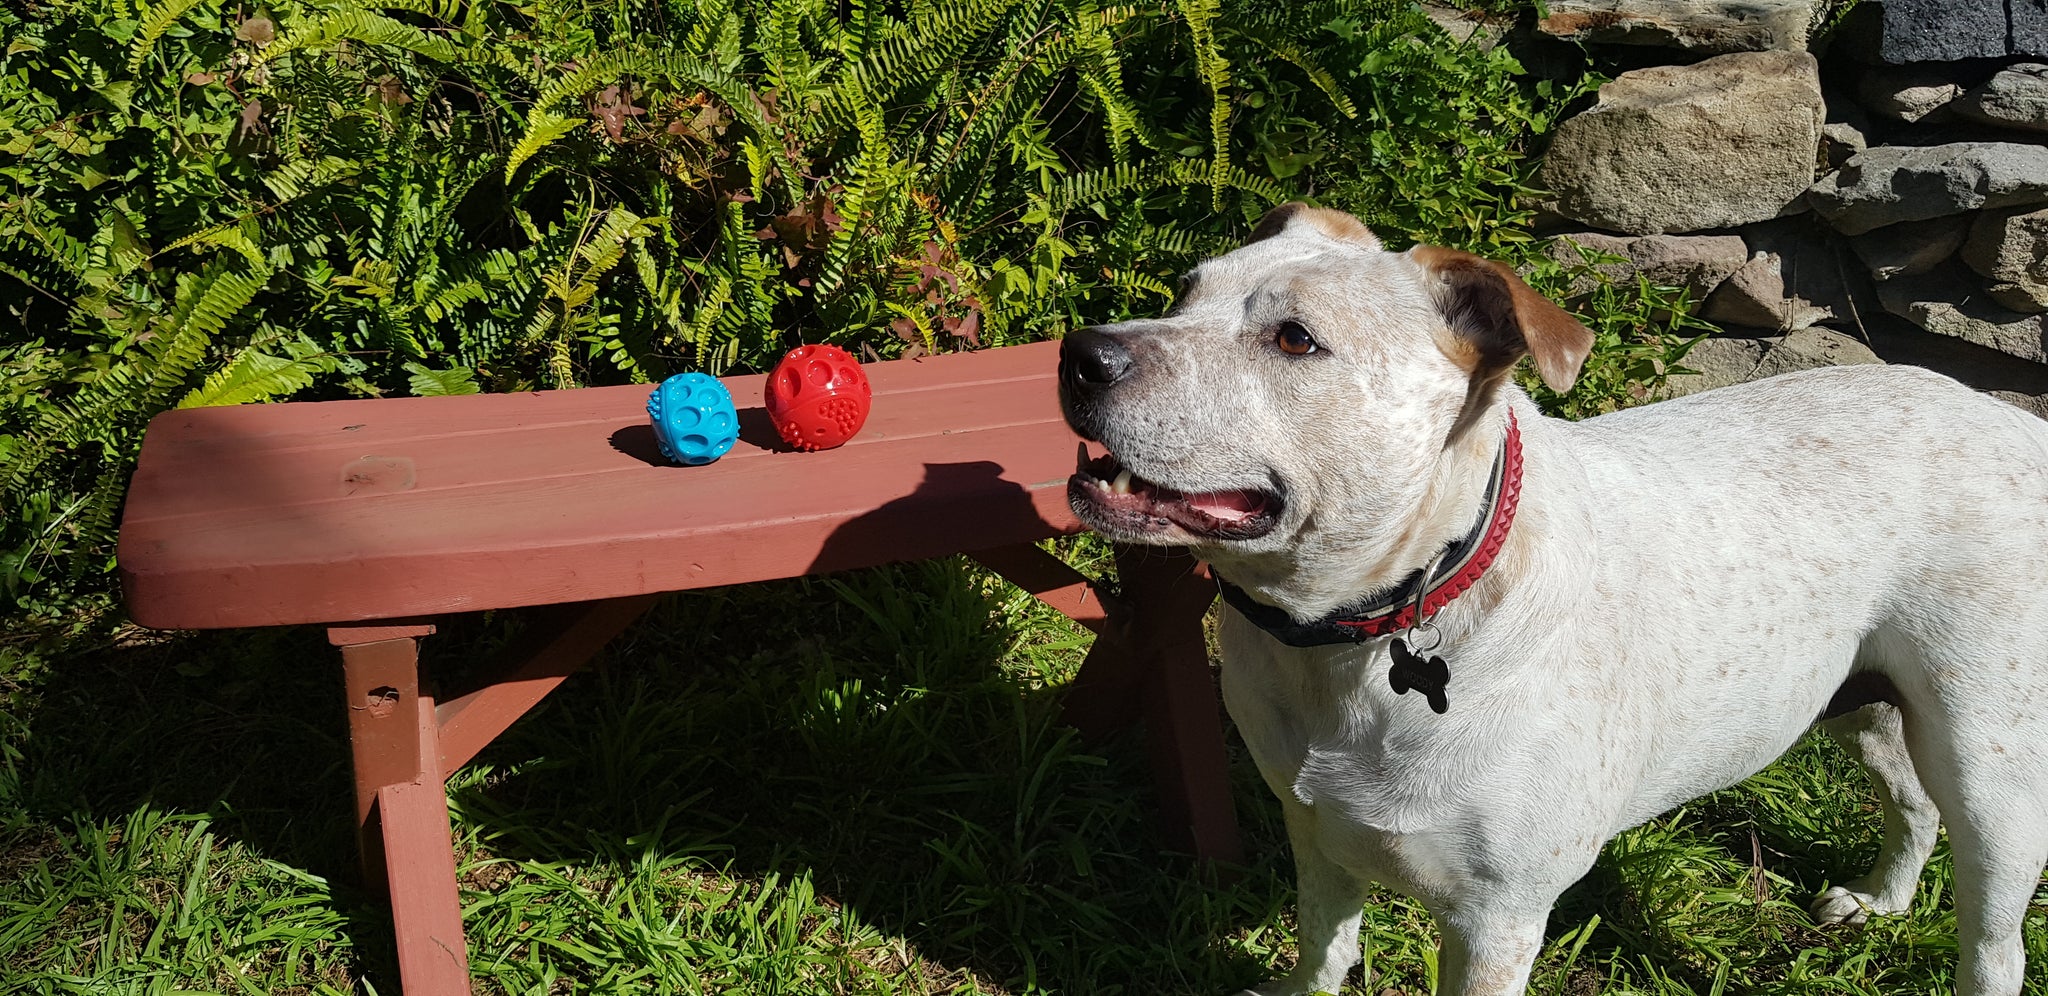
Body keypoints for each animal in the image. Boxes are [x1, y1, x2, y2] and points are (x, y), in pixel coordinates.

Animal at [1056, 203, 2048, 996]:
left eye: (1295, 339)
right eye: (1185, 292)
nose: (1081, 353)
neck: (1369, 625)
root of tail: (2012, 418)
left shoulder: (1494, 922)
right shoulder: (1317, 839)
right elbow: (1322, 953)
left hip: (1991, 768)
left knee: (1993, 936)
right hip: (1853, 696)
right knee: (1911, 798)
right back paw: (1880, 900)